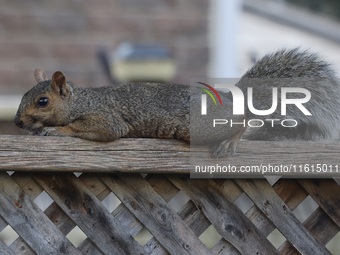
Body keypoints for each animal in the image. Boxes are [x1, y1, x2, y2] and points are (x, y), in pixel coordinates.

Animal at [13, 47, 340, 157]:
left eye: (42, 101)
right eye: (24, 95)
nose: (16, 122)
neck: (80, 101)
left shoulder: (105, 117)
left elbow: (99, 129)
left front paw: (52, 129)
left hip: (198, 127)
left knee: (242, 123)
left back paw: (230, 141)